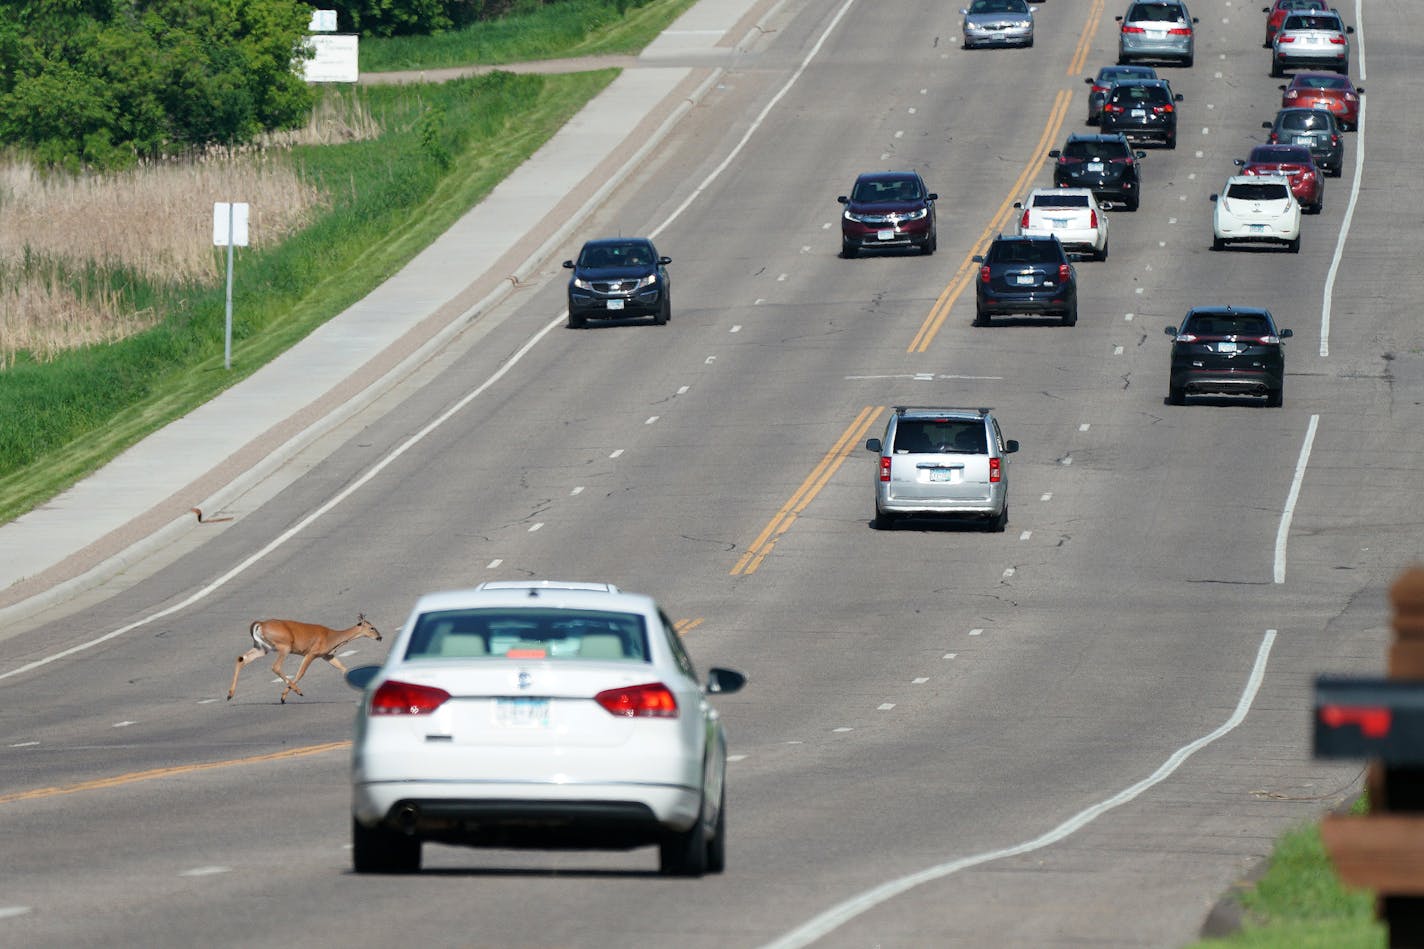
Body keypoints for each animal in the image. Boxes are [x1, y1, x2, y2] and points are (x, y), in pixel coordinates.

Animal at [224, 612, 378, 701]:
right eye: (372, 627)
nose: (380, 637)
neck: (332, 638)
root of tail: (260, 624)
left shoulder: (326, 656)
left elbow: (344, 668)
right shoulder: (312, 653)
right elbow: (300, 673)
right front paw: (284, 696)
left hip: (262, 648)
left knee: (241, 659)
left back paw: (230, 694)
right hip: (284, 646)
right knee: (275, 666)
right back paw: (297, 692)